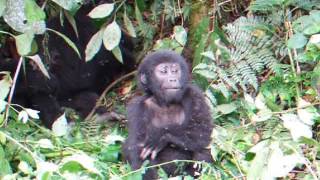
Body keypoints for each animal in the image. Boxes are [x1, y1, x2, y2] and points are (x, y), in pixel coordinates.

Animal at [124, 50, 214, 179]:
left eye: (175, 71)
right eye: (163, 72)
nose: (173, 79)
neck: (164, 103)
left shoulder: (194, 94)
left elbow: (202, 132)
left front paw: (160, 137)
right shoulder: (136, 107)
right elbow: (137, 149)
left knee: (203, 148)